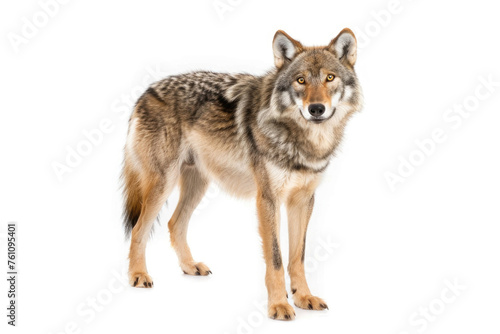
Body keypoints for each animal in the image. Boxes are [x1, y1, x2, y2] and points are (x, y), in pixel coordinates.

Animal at [121, 27, 364, 320]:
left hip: (197, 186)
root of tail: (146, 91)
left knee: (173, 223)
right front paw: (278, 305)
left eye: (330, 78)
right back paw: (138, 275)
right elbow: (276, 259)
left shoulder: (303, 200)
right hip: (162, 184)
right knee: (139, 229)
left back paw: (190, 266)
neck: (302, 142)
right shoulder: (268, 199)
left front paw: (303, 297)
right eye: (301, 80)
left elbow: (298, 257)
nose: (316, 109)